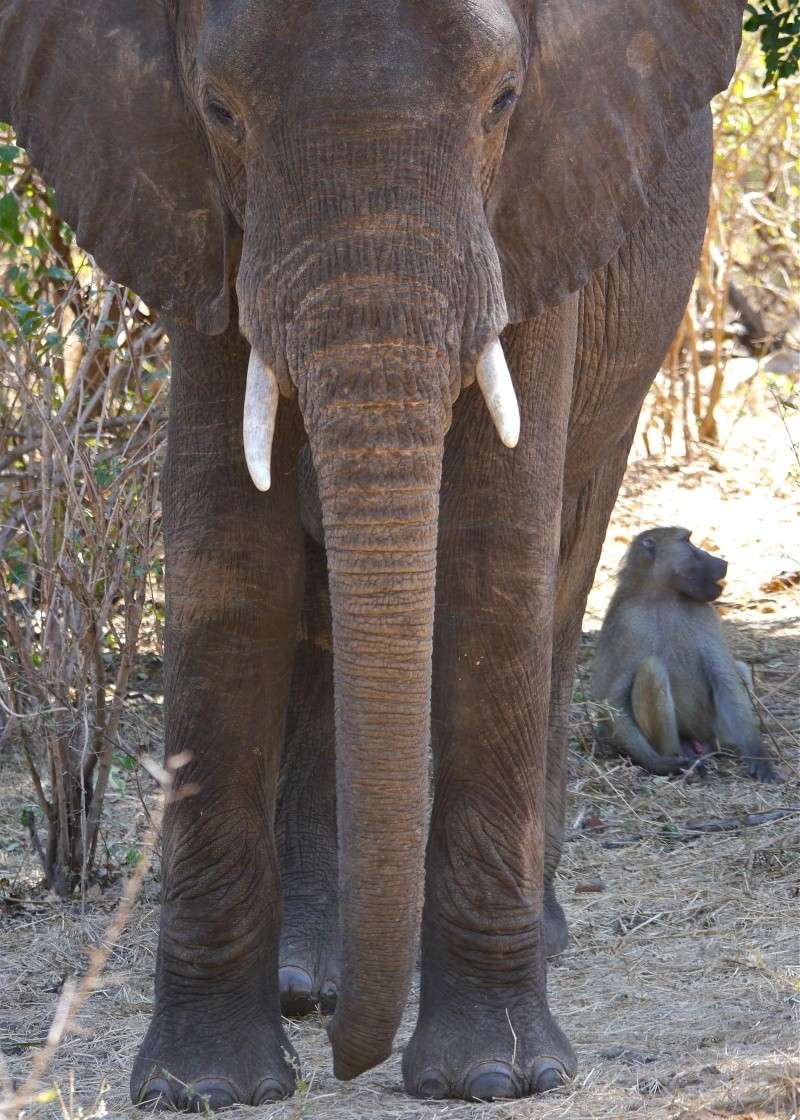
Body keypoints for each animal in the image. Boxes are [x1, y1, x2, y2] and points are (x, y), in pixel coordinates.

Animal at [1, 0, 739, 1106]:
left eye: (503, 100)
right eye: (218, 111)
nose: (356, 1058)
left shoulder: (539, 203)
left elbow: (494, 550)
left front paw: (495, 1077)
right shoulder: (192, 214)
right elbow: (228, 559)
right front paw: (202, 1087)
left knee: (564, 566)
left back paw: (532, 938)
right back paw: (311, 978)